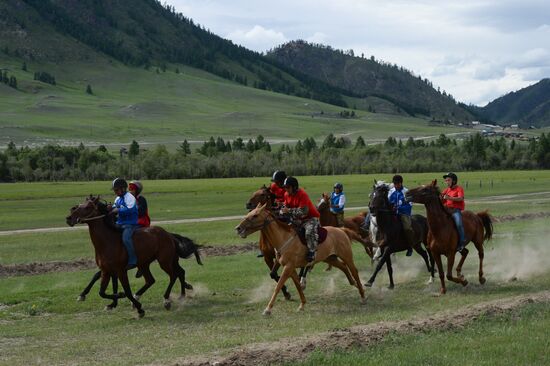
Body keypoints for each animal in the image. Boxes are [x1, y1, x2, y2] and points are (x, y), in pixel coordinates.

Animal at [234, 203, 366, 314]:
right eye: (249, 214)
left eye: (255, 215)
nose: (238, 228)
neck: (284, 238)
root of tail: (341, 230)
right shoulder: (290, 268)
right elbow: (297, 285)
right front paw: (302, 305)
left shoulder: (288, 267)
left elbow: (278, 285)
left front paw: (268, 309)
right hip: (330, 258)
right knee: (343, 267)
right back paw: (353, 283)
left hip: (347, 256)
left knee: (354, 271)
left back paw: (362, 295)